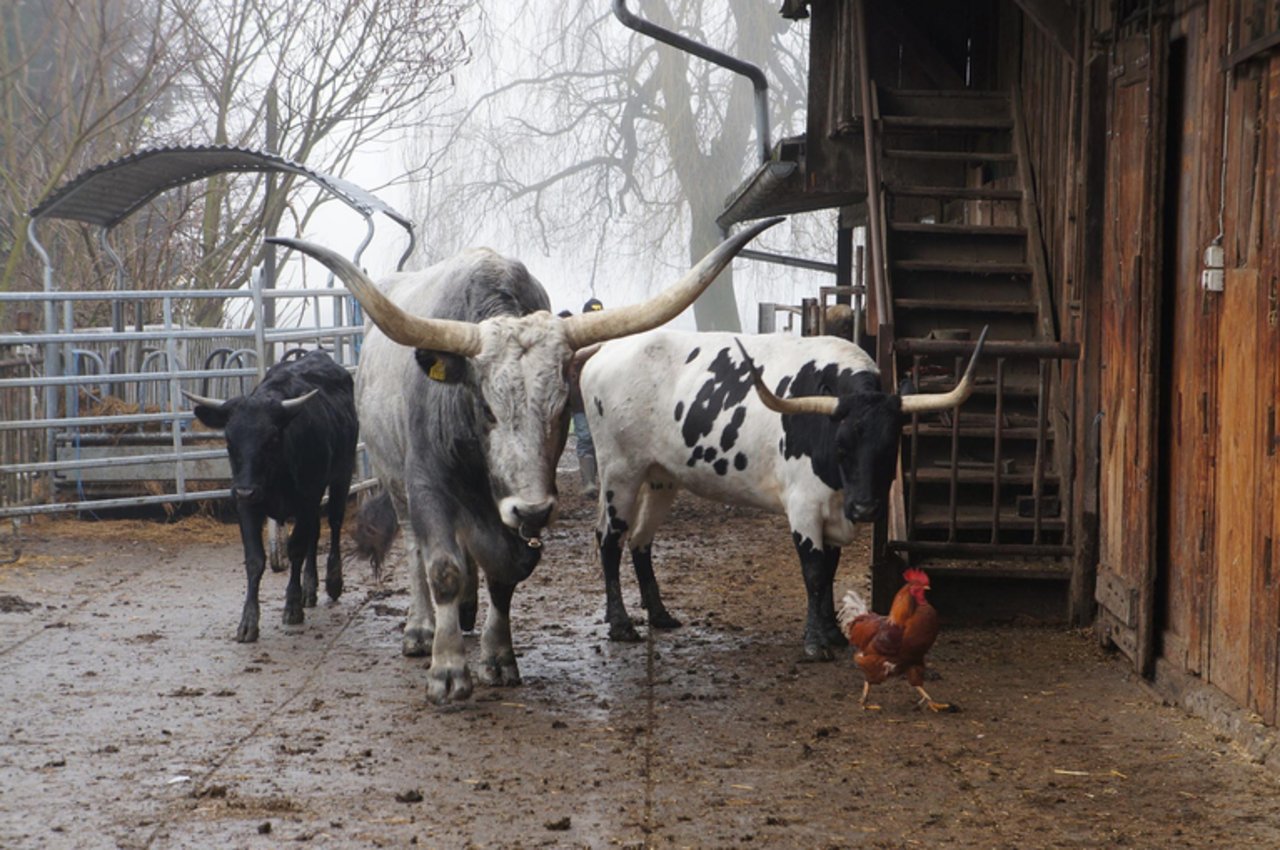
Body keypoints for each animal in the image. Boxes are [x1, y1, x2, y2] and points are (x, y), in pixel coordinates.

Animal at [185, 348, 358, 640]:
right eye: (229, 441)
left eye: (272, 438)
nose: (246, 490)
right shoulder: (247, 505)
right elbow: (255, 560)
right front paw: (248, 621)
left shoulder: (307, 500)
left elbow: (296, 549)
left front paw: (292, 606)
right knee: (315, 535)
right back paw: (310, 588)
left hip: (341, 477)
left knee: (334, 523)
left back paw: (333, 581)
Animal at [267, 217, 778, 701]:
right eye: (488, 408)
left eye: (560, 409)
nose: (532, 510)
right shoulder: (429, 482)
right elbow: (443, 568)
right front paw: (448, 670)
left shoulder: (513, 507)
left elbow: (504, 572)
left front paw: (498, 655)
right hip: (394, 478)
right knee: (415, 550)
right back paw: (421, 628)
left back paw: (467, 613)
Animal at [581, 327, 988, 660]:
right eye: (841, 447)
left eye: (890, 448)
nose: (865, 507)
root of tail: (606, 351)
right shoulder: (804, 507)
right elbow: (814, 572)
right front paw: (815, 642)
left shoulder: (834, 511)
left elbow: (830, 569)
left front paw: (833, 633)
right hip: (620, 473)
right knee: (610, 539)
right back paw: (621, 624)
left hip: (660, 478)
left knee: (641, 540)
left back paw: (660, 615)